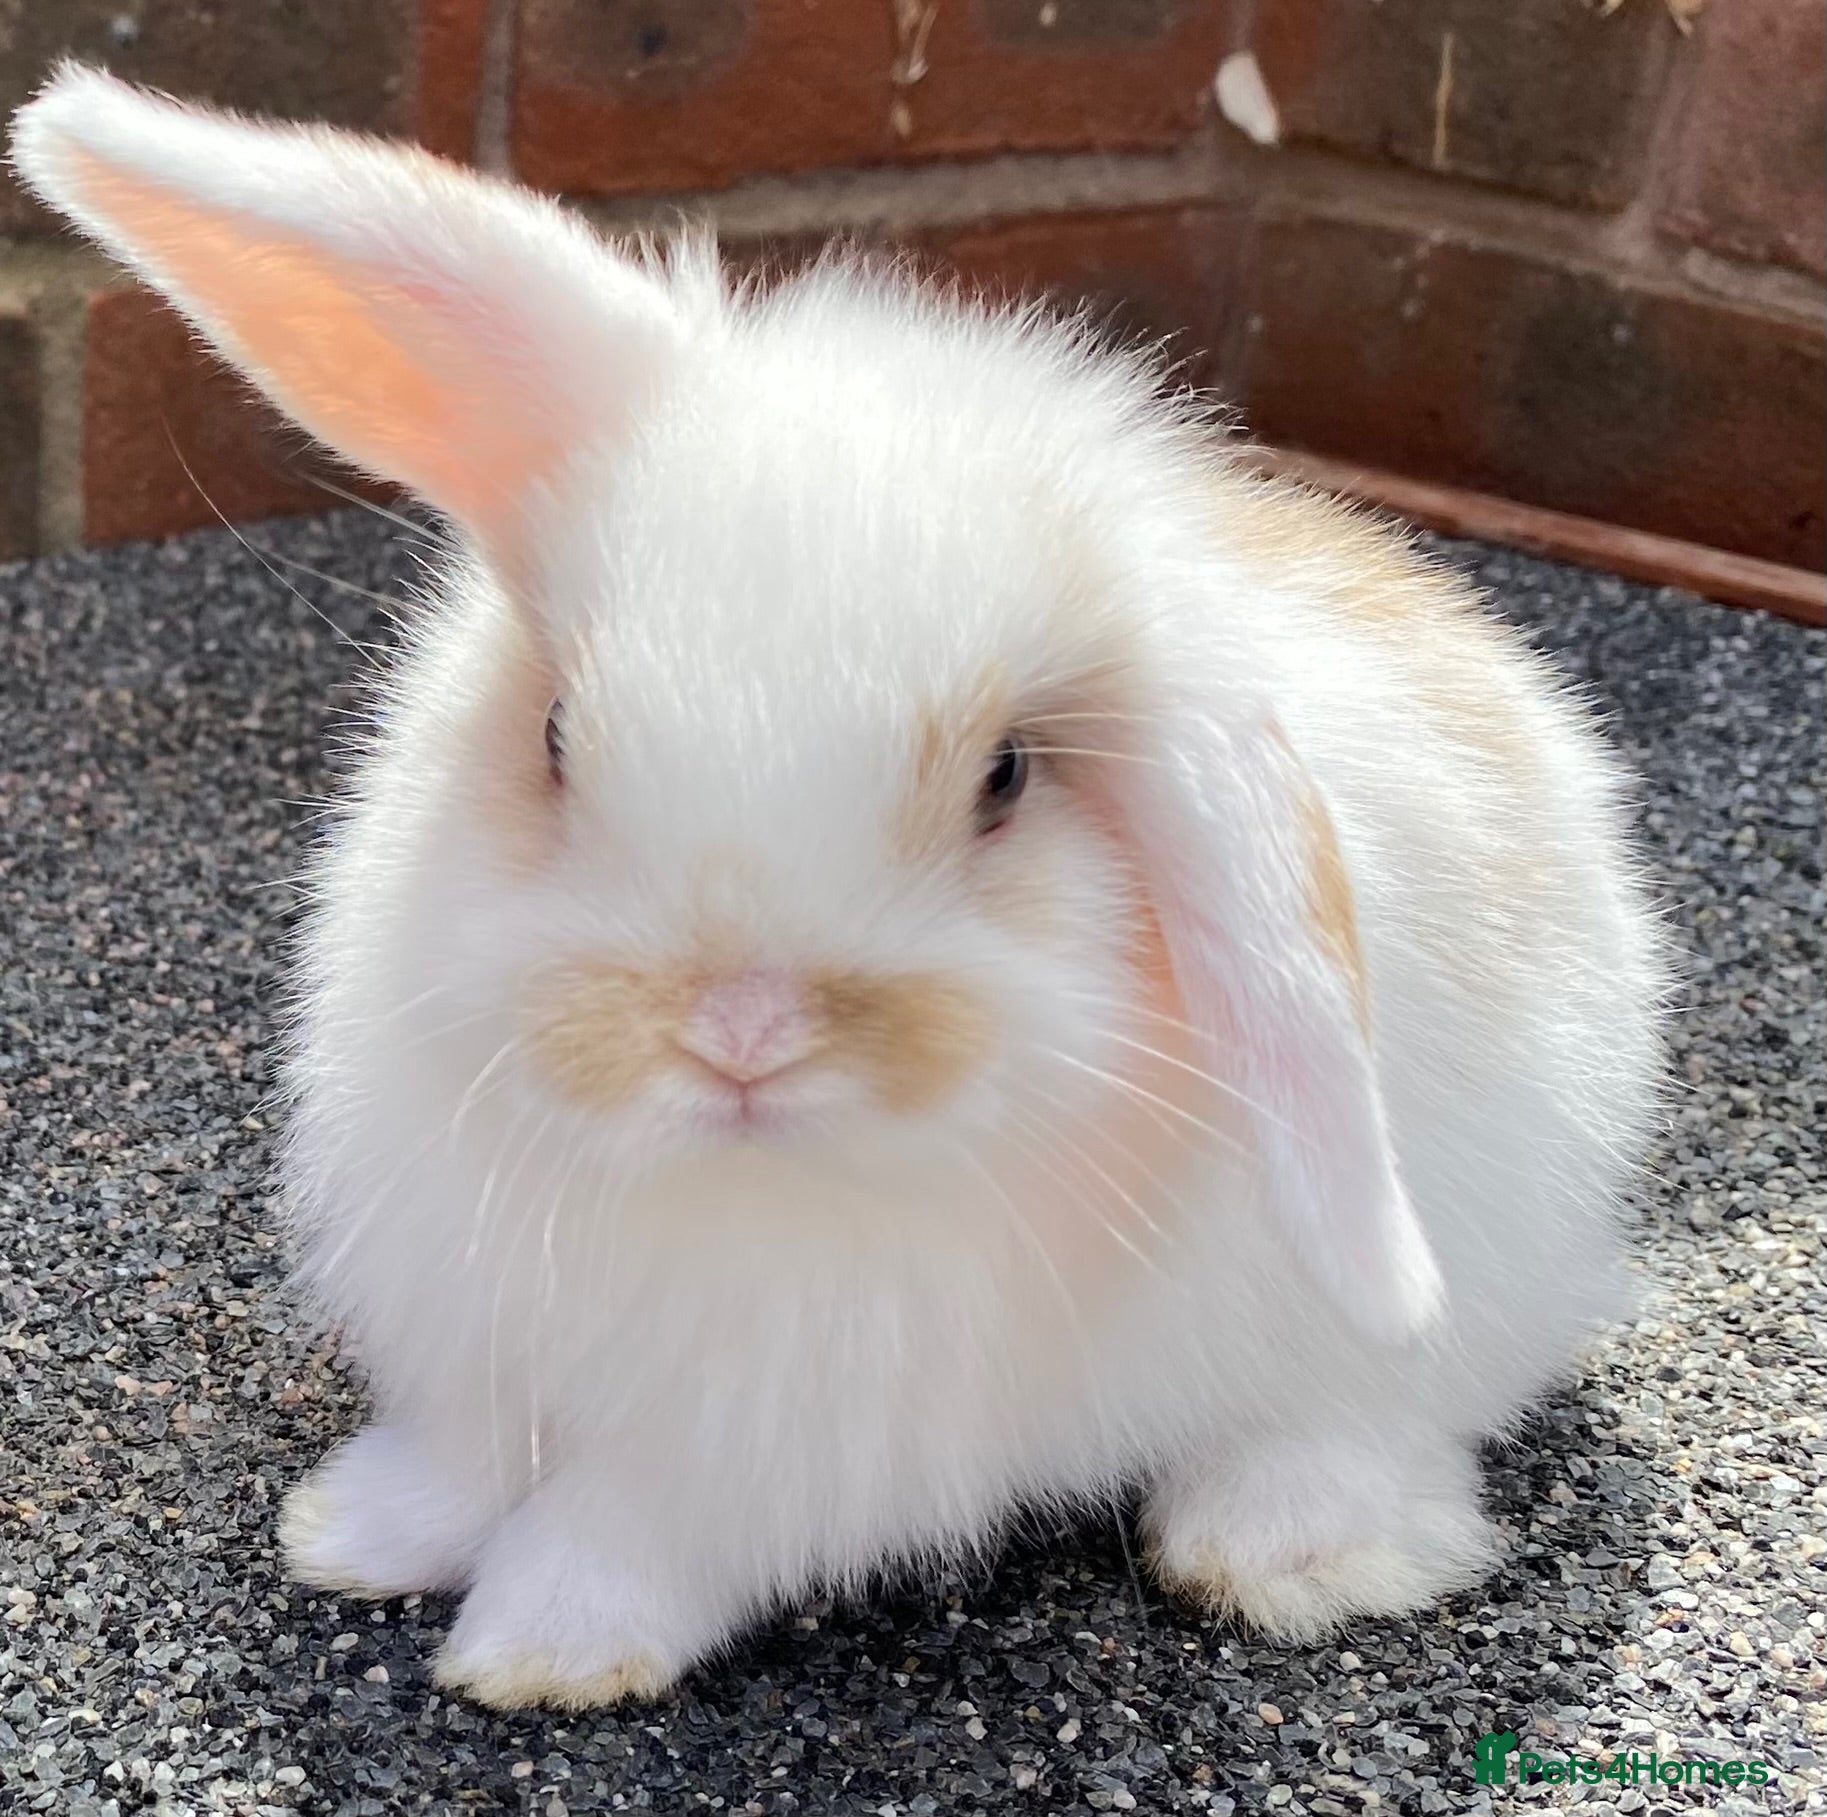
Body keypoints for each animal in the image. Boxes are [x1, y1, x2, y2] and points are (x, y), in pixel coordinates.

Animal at [13, 65, 1668, 1712]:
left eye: (1005, 776)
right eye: (554, 735)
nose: (739, 1031)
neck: (729, 1185)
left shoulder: (778, 1440)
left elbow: (631, 1521)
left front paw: (540, 1650)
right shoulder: (483, 1324)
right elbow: (468, 1453)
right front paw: (354, 1531)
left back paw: (1280, 1549)